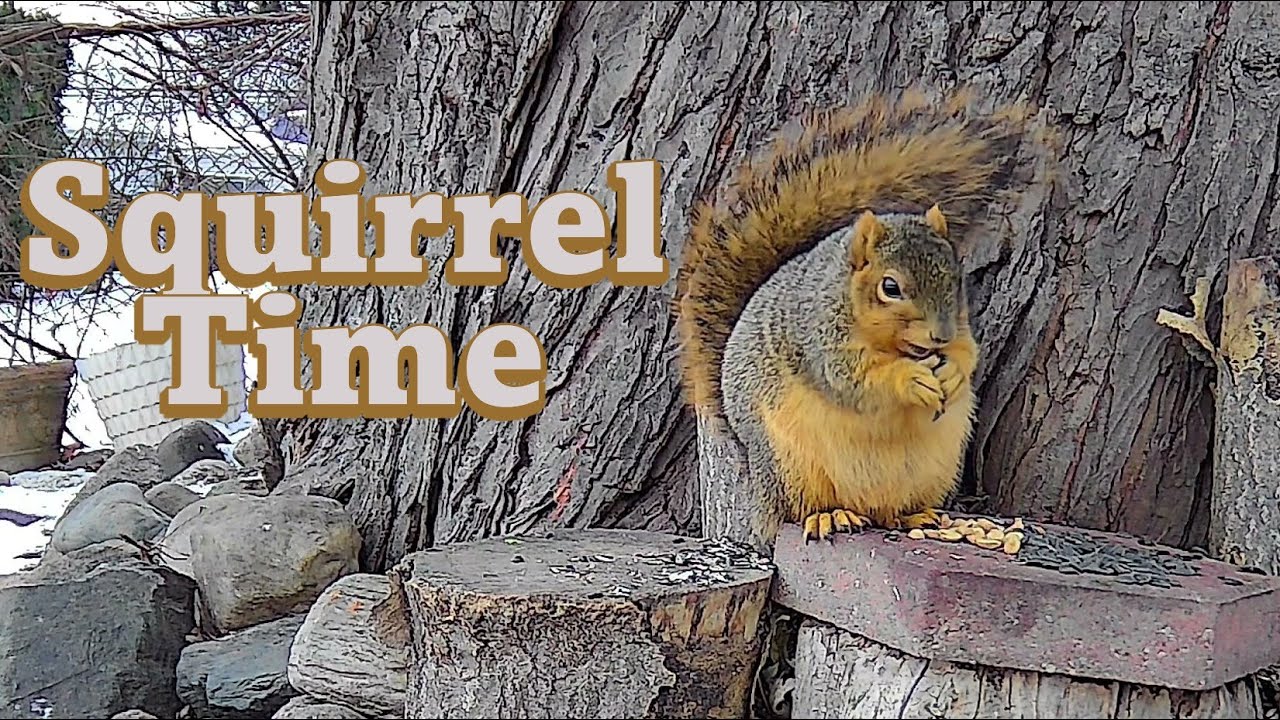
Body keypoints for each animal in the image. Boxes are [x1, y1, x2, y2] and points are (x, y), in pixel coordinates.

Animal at [673, 87, 1056, 547]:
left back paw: (913, 516)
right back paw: (829, 516)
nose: (940, 336)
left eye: (956, 275)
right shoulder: (819, 338)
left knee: (888, 512)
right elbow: (855, 381)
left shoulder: (959, 328)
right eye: (890, 287)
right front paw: (909, 380)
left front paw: (953, 371)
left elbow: (968, 350)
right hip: (791, 467)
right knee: (799, 511)